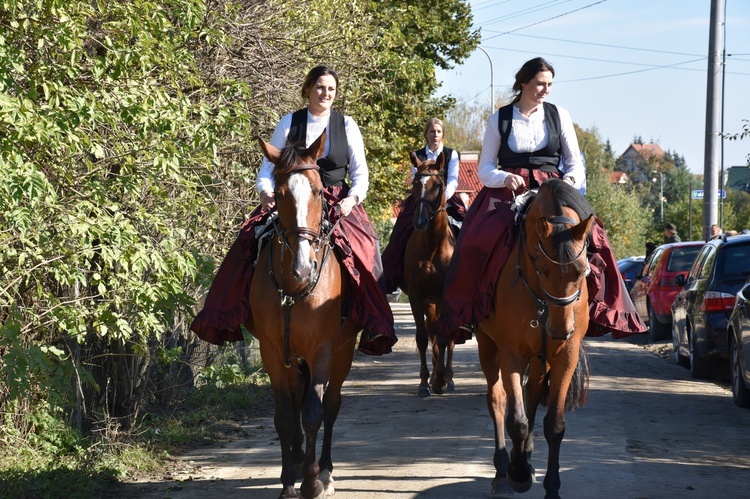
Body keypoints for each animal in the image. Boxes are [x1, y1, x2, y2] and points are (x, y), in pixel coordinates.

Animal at [250, 131, 362, 498]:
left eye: (317, 190)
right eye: (280, 193)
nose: (303, 266)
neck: (293, 287)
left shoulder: (323, 349)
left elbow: (314, 412)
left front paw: (313, 482)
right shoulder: (272, 352)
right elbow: (285, 416)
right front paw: (288, 482)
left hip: (344, 351)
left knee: (331, 405)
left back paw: (324, 470)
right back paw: (300, 460)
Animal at [478, 180, 596, 499]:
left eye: (582, 269)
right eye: (543, 269)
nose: (560, 330)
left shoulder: (565, 355)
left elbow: (554, 424)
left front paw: (550, 486)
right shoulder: (510, 353)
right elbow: (516, 420)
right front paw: (517, 474)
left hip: (541, 357)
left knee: (531, 395)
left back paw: (527, 458)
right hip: (487, 345)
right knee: (497, 399)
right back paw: (502, 469)